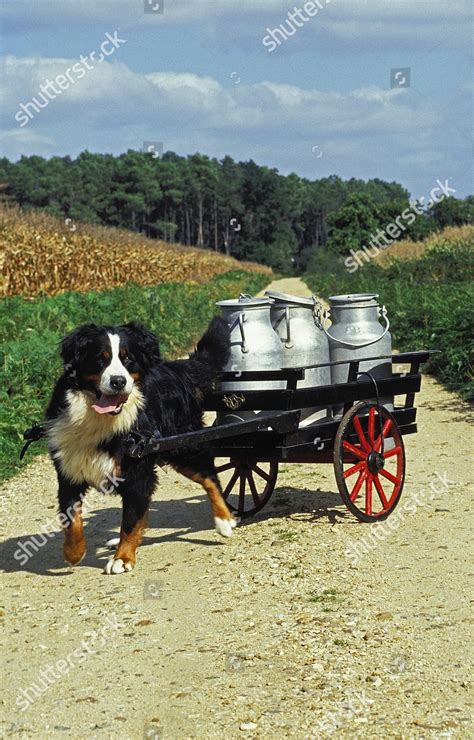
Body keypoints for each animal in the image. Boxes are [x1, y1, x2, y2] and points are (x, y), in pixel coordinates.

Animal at [46, 316, 235, 576]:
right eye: (100, 358)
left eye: (128, 359)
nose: (118, 381)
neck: (101, 422)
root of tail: (176, 368)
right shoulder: (69, 470)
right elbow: (71, 517)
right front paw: (73, 552)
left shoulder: (137, 473)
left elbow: (130, 520)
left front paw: (123, 558)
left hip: (183, 447)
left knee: (209, 478)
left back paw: (224, 520)